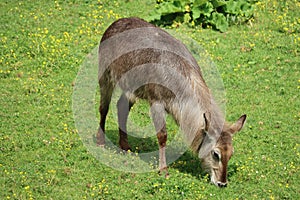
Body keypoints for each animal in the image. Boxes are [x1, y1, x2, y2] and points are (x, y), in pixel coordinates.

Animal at [96, 17, 246, 188]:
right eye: (216, 154)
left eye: (231, 153)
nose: (222, 183)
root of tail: (116, 22)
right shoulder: (156, 102)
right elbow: (162, 136)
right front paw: (163, 170)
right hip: (106, 76)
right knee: (103, 108)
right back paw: (100, 141)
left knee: (121, 106)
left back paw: (125, 146)